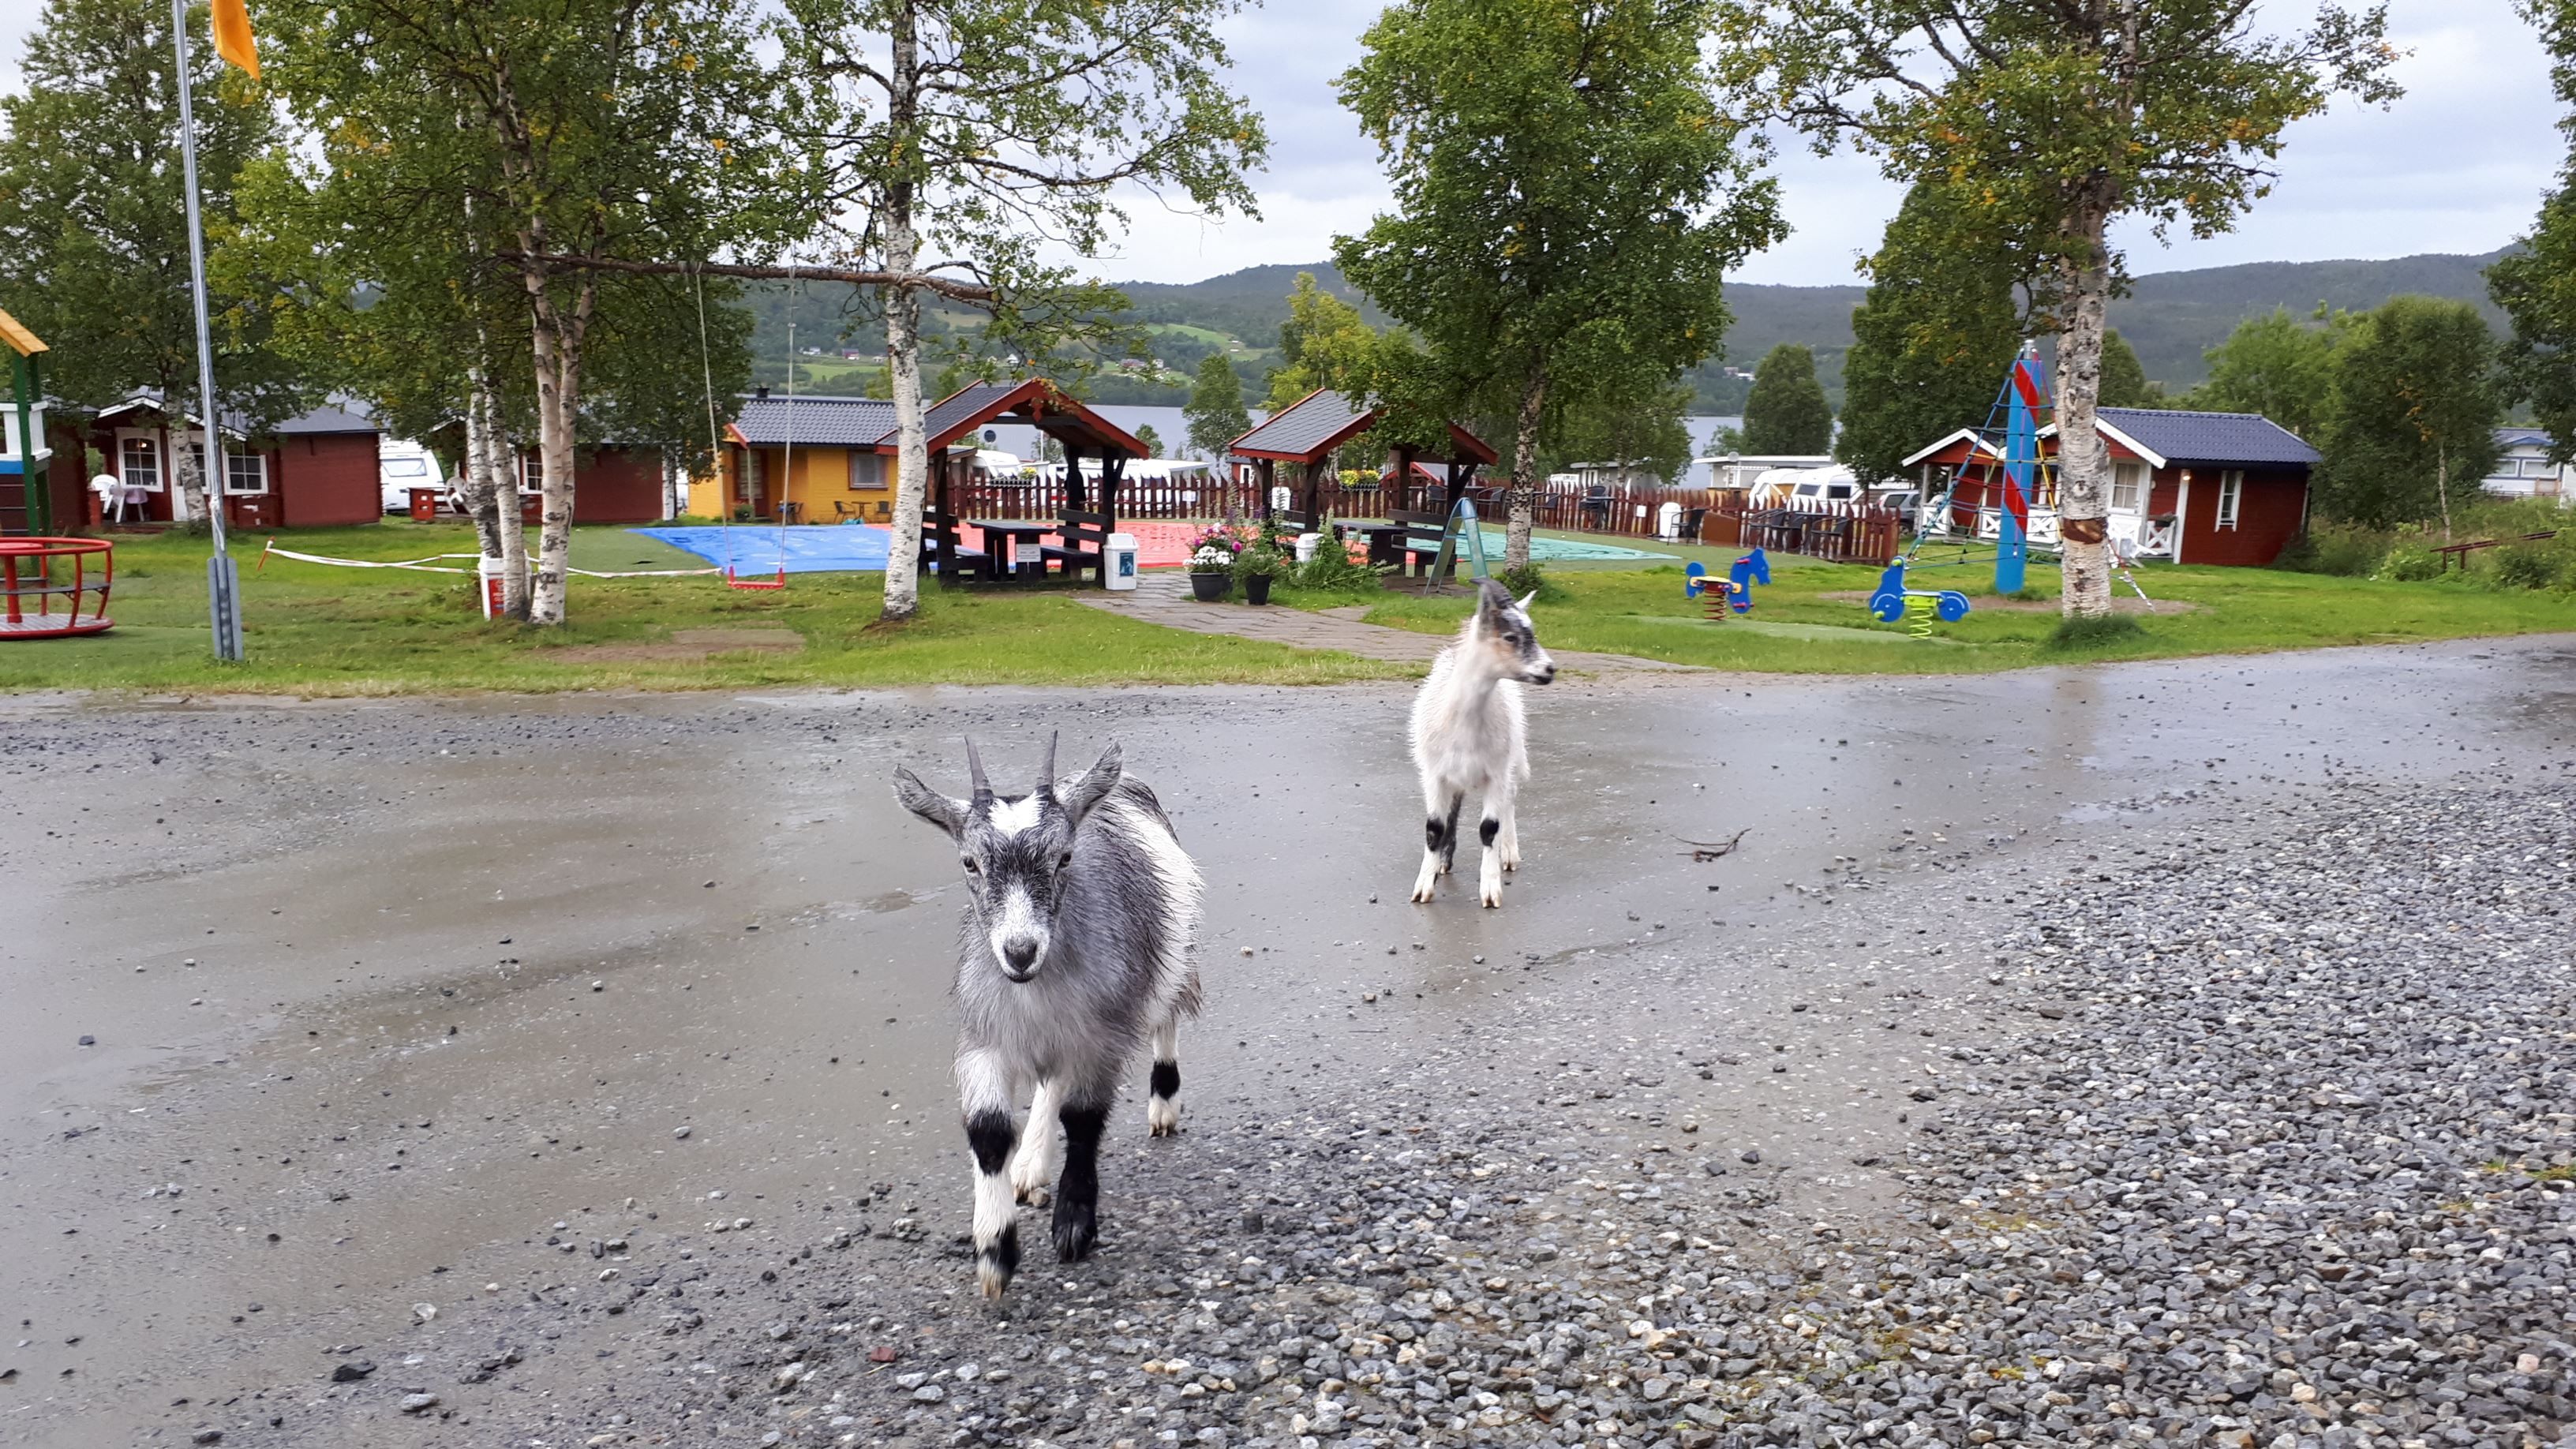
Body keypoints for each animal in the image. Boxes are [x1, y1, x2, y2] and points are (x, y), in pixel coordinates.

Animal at [892, 734, 1202, 1300]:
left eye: (1064, 857)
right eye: (969, 862)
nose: (1020, 952)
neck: (1036, 988)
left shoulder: (1102, 1034)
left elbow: (1082, 1119)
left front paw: (1074, 1223)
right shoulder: (985, 1037)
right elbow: (989, 1130)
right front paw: (994, 1252)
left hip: (1173, 956)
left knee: (1165, 1016)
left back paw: (1163, 1104)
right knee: (1050, 1081)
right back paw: (1030, 1165)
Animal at [1409, 578, 1556, 908]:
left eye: (1532, 631)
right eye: (1510, 636)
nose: (1549, 669)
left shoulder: (1496, 772)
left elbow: (1489, 827)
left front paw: (1490, 891)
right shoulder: (1434, 774)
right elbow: (1434, 827)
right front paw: (1424, 886)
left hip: (1512, 758)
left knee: (1508, 802)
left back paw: (1508, 853)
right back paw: (1444, 862)